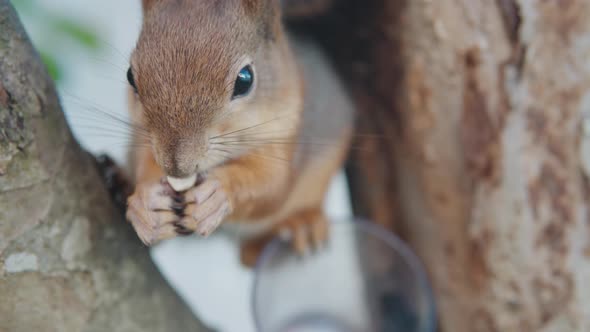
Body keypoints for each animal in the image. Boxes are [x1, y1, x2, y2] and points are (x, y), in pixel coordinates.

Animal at [125, 0, 354, 264]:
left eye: (245, 79)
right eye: (130, 76)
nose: (177, 167)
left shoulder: (287, 134)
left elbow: (273, 184)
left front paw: (219, 194)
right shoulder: (143, 136)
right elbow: (143, 163)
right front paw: (145, 203)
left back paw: (301, 224)